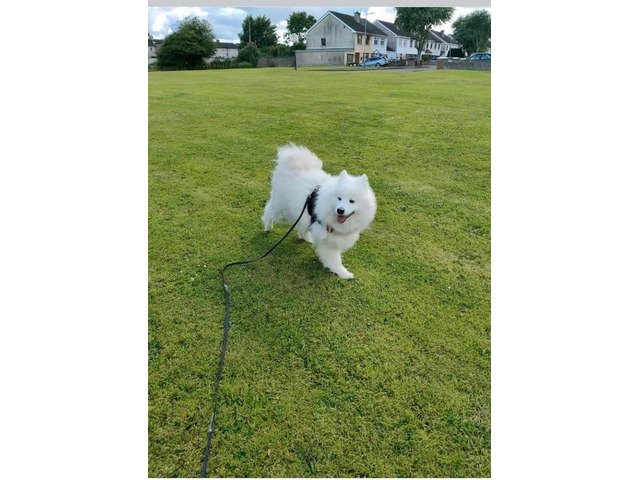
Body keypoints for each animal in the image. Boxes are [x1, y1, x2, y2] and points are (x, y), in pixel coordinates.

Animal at [262, 144, 377, 279]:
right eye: (339, 198)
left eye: (352, 201)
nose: (340, 210)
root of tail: (292, 161)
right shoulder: (327, 239)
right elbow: (334, 259)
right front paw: (343, 272)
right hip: (282, 207)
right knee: (269, 211)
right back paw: (267, 226)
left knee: (301, 227)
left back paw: (306, 238)